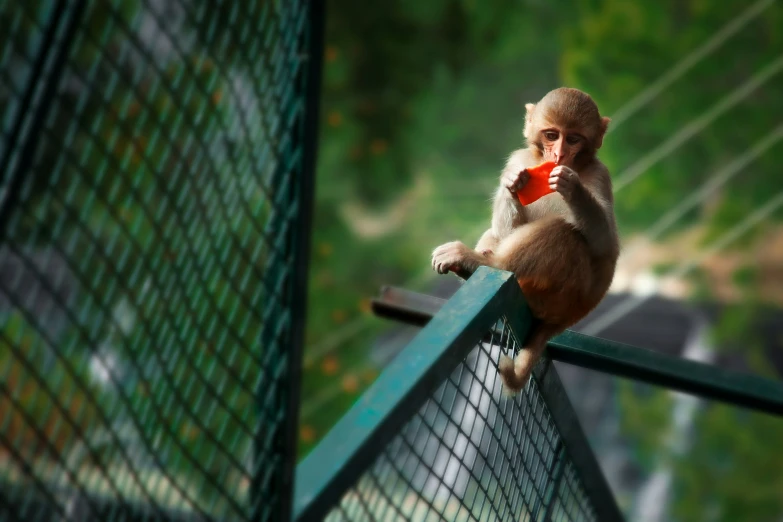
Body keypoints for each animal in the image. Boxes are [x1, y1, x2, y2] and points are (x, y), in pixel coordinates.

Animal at [428, 87, 620, 392]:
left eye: (573, 138)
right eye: (552, 135)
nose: (559, 153)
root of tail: (573, 314)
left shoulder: (601, 175)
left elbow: (605, 244)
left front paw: (572, 186)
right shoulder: (519, 159)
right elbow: (506, 229)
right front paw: (511, 183)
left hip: (558, 295)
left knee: (564, 232)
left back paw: (483, 263)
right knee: (499, 234)